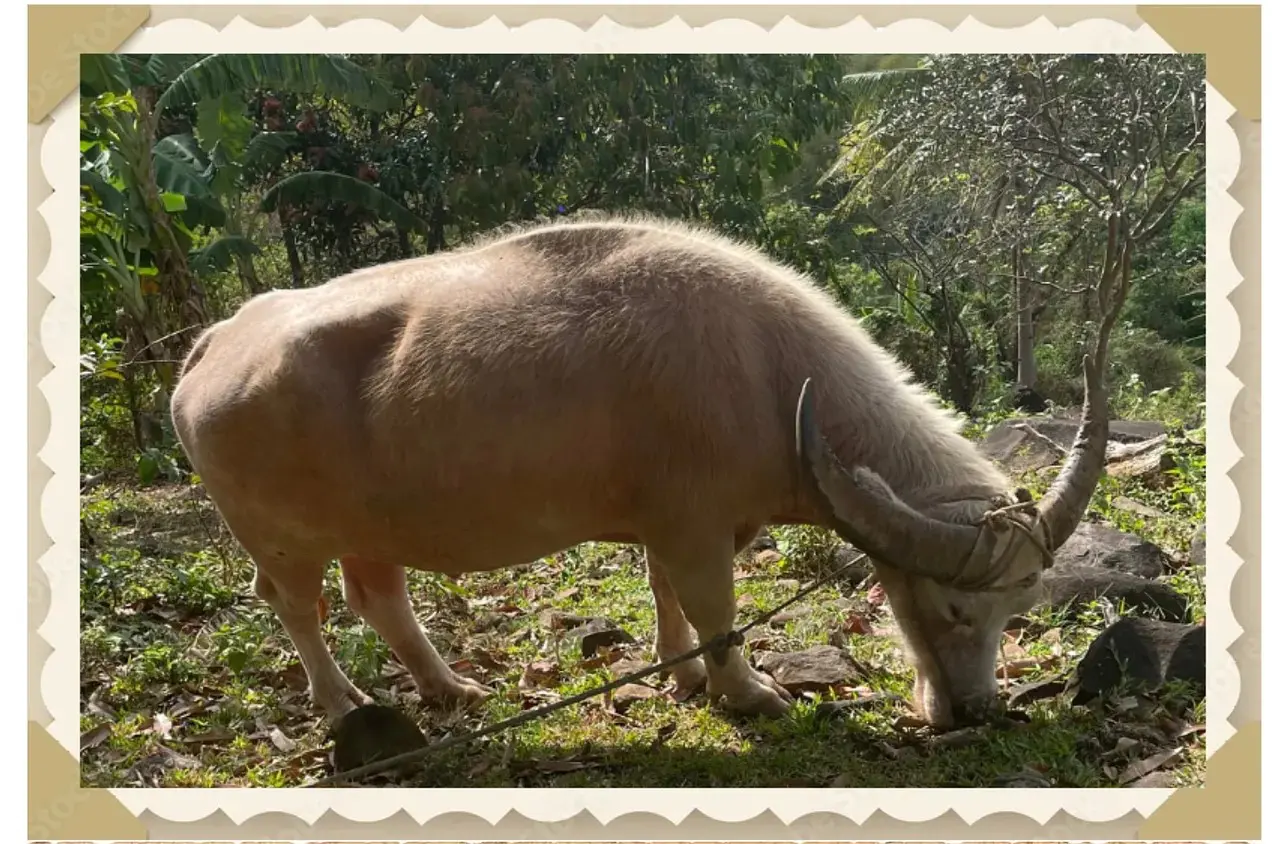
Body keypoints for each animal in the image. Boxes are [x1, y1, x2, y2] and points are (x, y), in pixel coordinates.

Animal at [174, 214, 1109, 727]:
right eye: (952, 608)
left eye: (1017, 610)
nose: (977, 710)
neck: (771, 378)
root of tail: (214, 347)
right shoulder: (696, 528)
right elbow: (715, 608)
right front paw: (748, 692)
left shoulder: (676, 523)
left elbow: (667, 595)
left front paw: (685, 675)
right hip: (279, 541)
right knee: (297, 610)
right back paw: (341, 704)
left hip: (370, 529)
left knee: (379, 598)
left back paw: (449, 687)